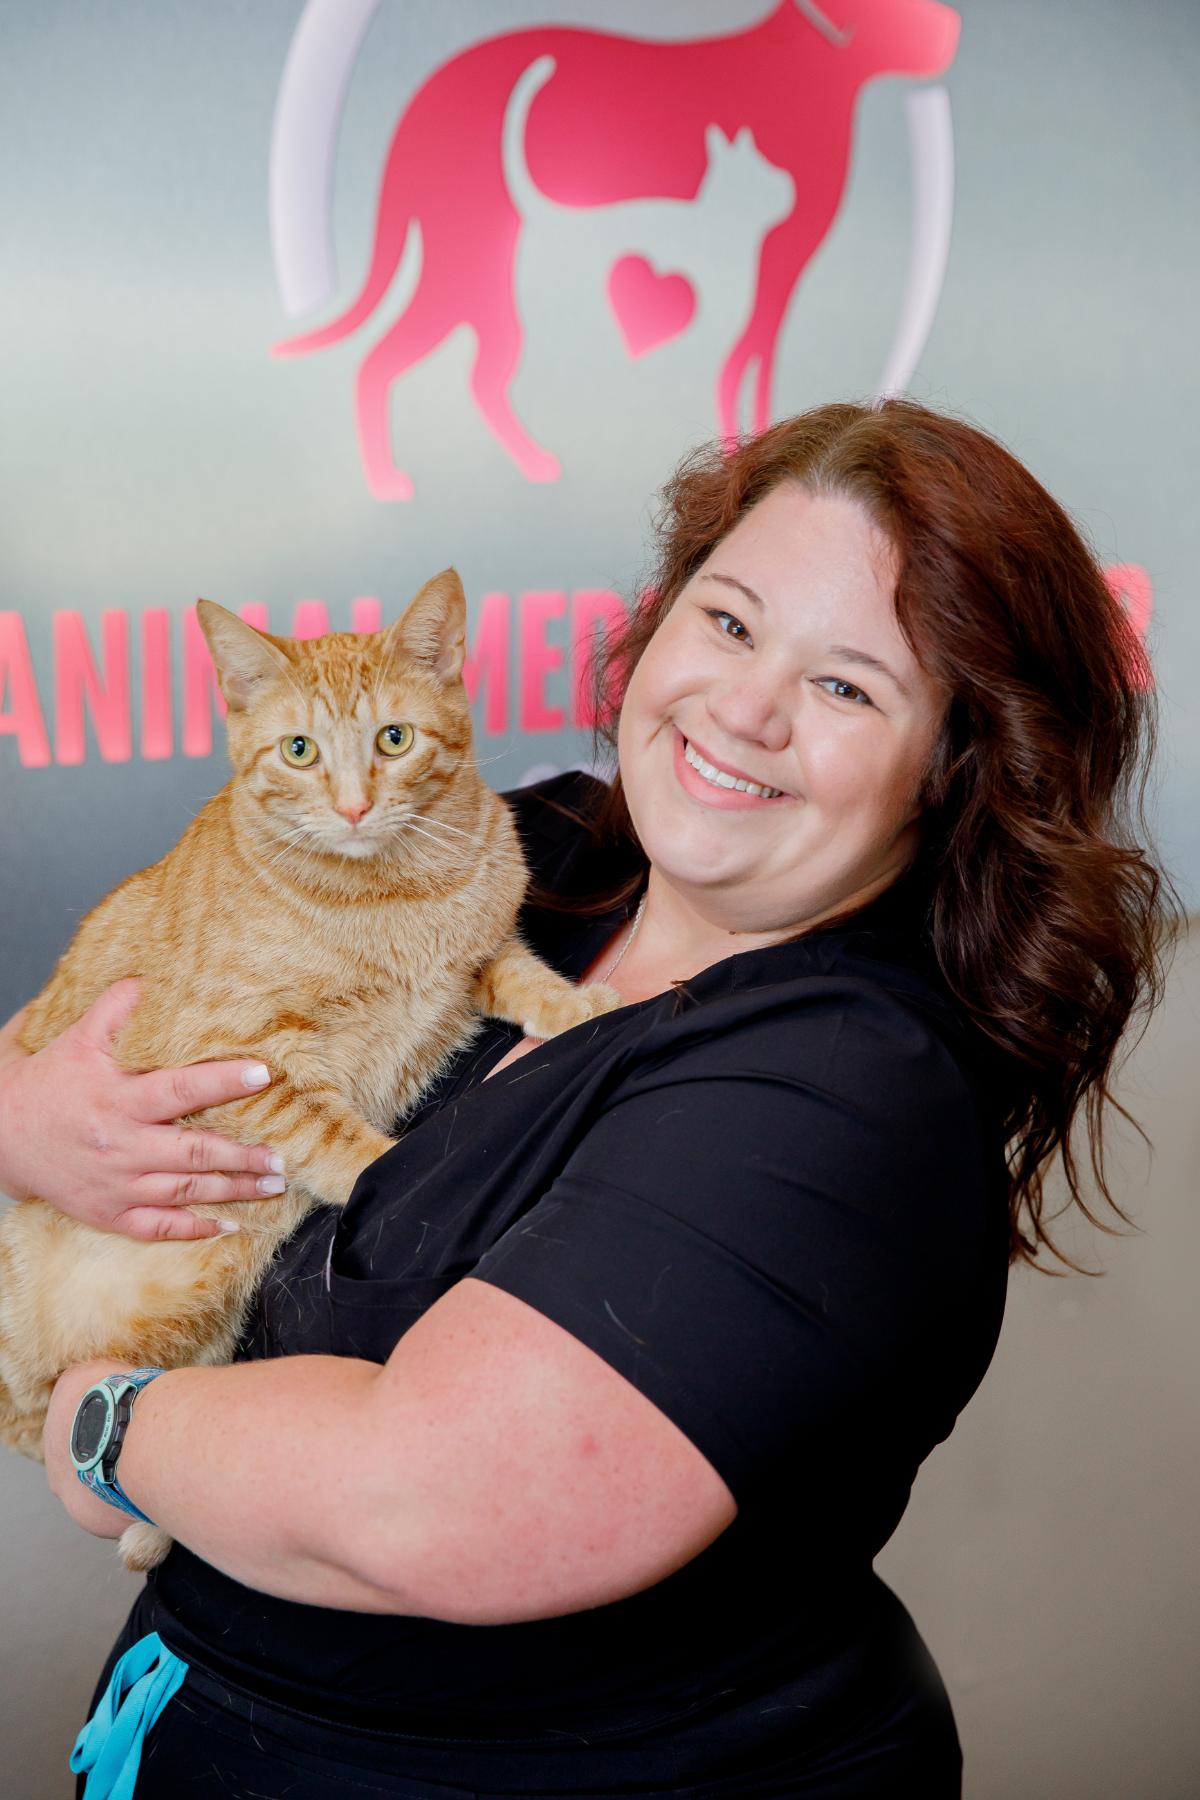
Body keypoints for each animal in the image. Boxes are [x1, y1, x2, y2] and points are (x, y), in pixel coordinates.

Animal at [0, 568, 618, 1569]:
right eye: (298, 751)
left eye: (394, 739)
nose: (356, 805)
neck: (393, 893)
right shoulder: (232, 1059)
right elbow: (353, 1149)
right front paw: (399, 1173)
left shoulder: (477, 956)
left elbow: (524, 974)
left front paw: (587, 1009)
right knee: (37, 1415)